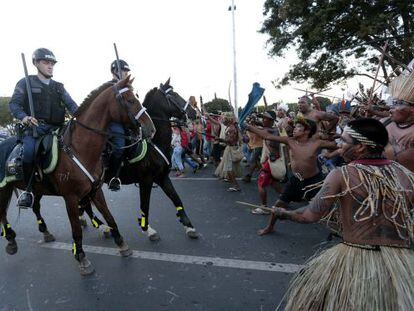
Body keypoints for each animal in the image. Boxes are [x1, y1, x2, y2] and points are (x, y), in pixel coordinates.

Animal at [0, 75, 155, 276]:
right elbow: (76, 230)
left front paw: (121, 244)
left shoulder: (96, 191)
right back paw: (11, 239)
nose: (150, 128)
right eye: (130, 101)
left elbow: (109, 216)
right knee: (2, 213)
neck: (79, 149)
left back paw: (44, 232)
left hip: (35, 188)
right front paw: (82, 258)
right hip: (4, 189)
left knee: (34, 207)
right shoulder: (71, 197)